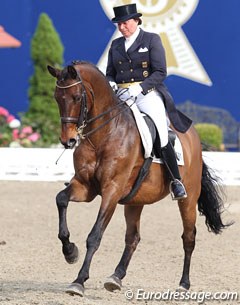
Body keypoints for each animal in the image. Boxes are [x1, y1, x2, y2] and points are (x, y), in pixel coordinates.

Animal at [47, 60, 229, 296]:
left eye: (77, 97)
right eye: (57, 98)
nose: (67, 140)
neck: (104, 134)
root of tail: (193, 136)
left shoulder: (112, 191)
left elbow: (95, 235)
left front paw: (79, 281)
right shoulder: (85, 187)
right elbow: (61, 199)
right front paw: (70, 252)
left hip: (188, 198)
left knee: (189, 237)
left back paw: (183, 284)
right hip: (135, 200)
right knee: (133, 238)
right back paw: (115, 277)